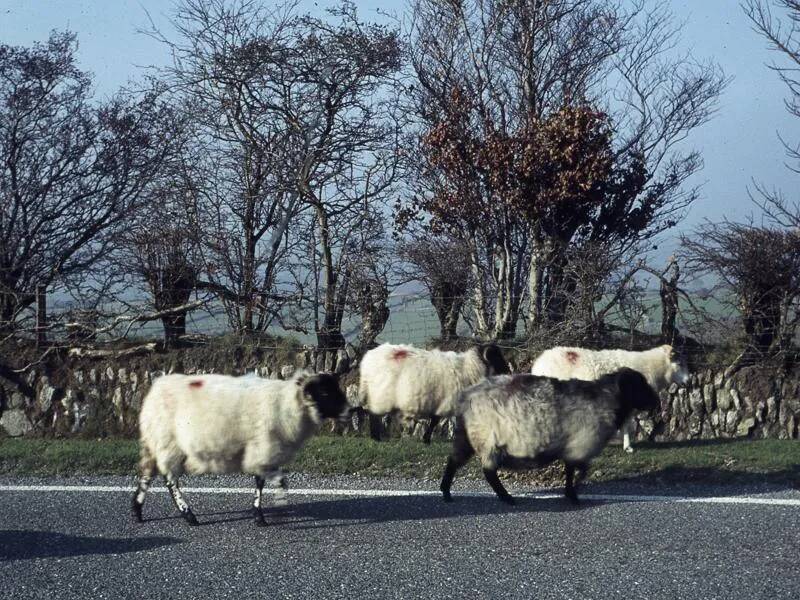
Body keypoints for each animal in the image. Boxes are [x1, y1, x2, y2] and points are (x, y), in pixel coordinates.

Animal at [131, 368, 346, 528]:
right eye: (324, 392)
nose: (350, 409)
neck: (287, 403)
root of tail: (154, 390)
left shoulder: (263, 450)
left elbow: (261, 480)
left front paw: (259, 514)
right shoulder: (263, 447)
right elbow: (269, 481)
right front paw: (269, 509)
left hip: (154, 443)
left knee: (146, 475)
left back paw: (137, 510)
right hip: (169, 443)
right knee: (170, 481)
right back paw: (189, 516)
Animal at [358, 342, 510, 446]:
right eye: (496, 357)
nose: (508, 371)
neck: (469, 369)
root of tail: (367, 360)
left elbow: (438, 421)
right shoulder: (446, 401)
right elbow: (436, 421)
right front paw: (426, 439)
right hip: (381, 395)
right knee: (373, 415)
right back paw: (376, 438)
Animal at [440, 368, 660, 504]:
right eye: (639, 385)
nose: (657, 401)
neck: (607, 399)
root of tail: (466, 396)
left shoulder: (575, 447)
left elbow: (574, 470)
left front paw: (571, 494)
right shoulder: (580, 446)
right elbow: (578, 472)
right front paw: (573, 495)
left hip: (467, 437)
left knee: (453, 461)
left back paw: (446, 492)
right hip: (488, 440)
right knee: (488, 472)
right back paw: (507, 498)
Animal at [532, 344, 688, 452]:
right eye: (679, 363)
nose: (689, 380)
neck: (650, 369)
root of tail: (539, 361)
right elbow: (625, 425)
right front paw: (627, 447)